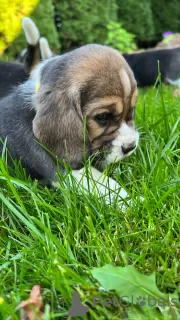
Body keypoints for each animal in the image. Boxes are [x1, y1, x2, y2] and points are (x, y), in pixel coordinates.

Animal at [0, 44, 139, 200]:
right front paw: (134, 201)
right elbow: (109, 187)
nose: (130, 147)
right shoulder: (67, 173)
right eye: (103, 116)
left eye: (132, 109)